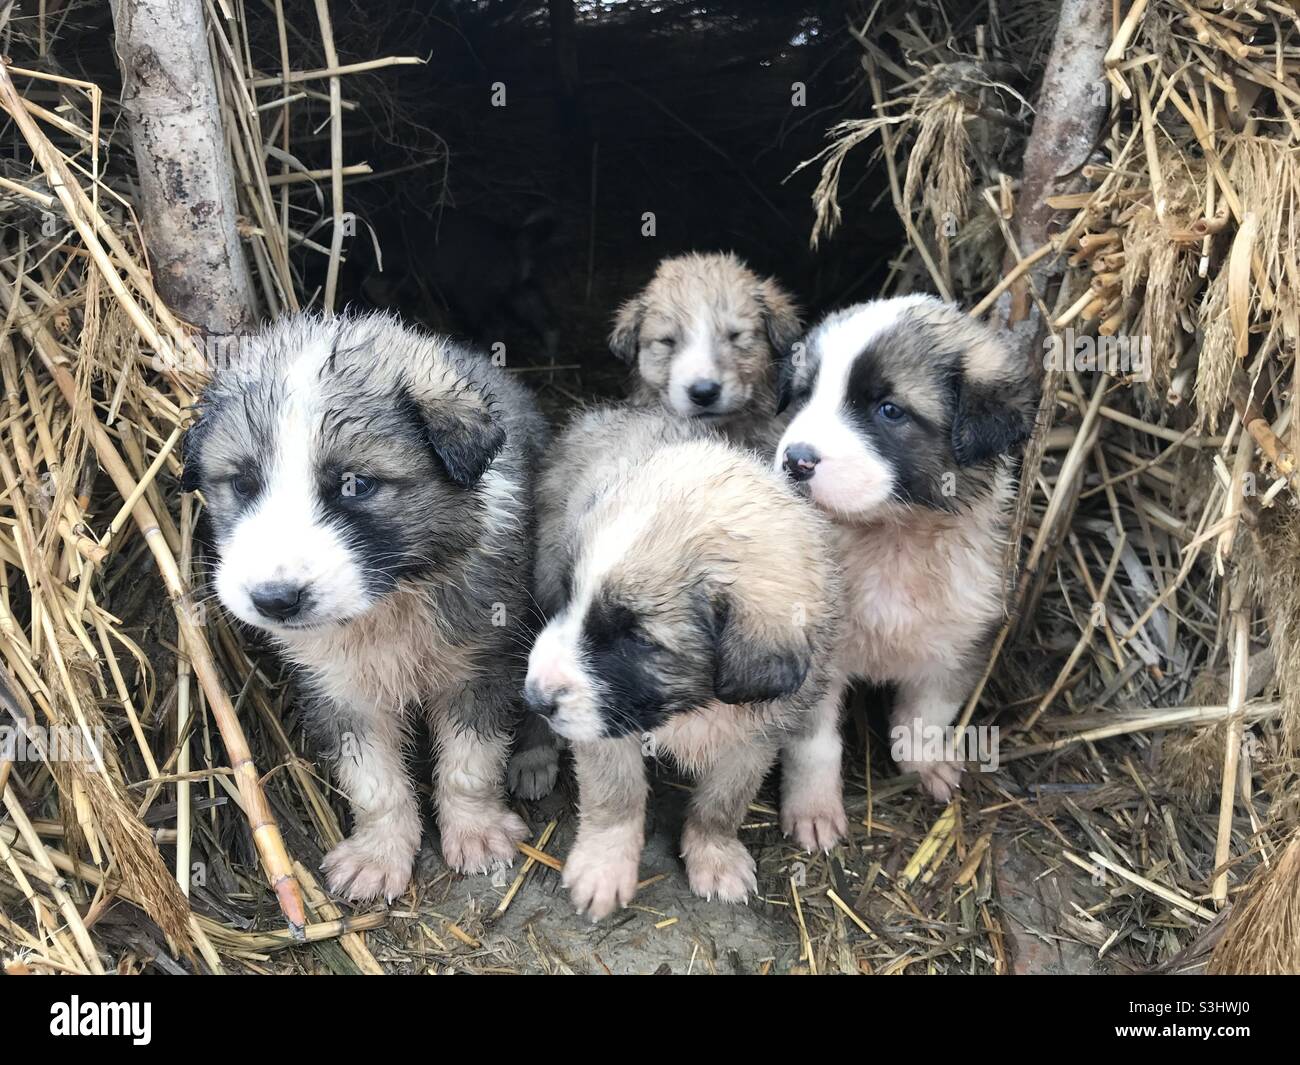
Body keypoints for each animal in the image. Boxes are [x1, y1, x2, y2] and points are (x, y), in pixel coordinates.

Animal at [185, 312, 546, 905]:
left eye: (355, 485)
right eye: (242, 482)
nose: (274, 600)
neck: (389, 600)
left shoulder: (483, 666)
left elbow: (469, 764)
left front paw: (477, 833)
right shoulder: (338, 690)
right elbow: (373, 783)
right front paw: (378, 856)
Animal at [525, 403, 842, 920]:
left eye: (637, 639)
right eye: (574, 597)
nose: (536, 696)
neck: (698, 704)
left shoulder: (754, 738)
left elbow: (723, 803)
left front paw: (714, 855)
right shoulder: (605, 725)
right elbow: (615, 795)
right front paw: (603, 868)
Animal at [769, 295, 1034, 806]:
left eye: (889, 410)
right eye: (805, 396)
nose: (796, 461)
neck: (893, 538)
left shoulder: (958, 646)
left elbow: (925, 718)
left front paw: (925, 764)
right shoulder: (811, 661)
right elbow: (814, 745)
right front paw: (814, 808)